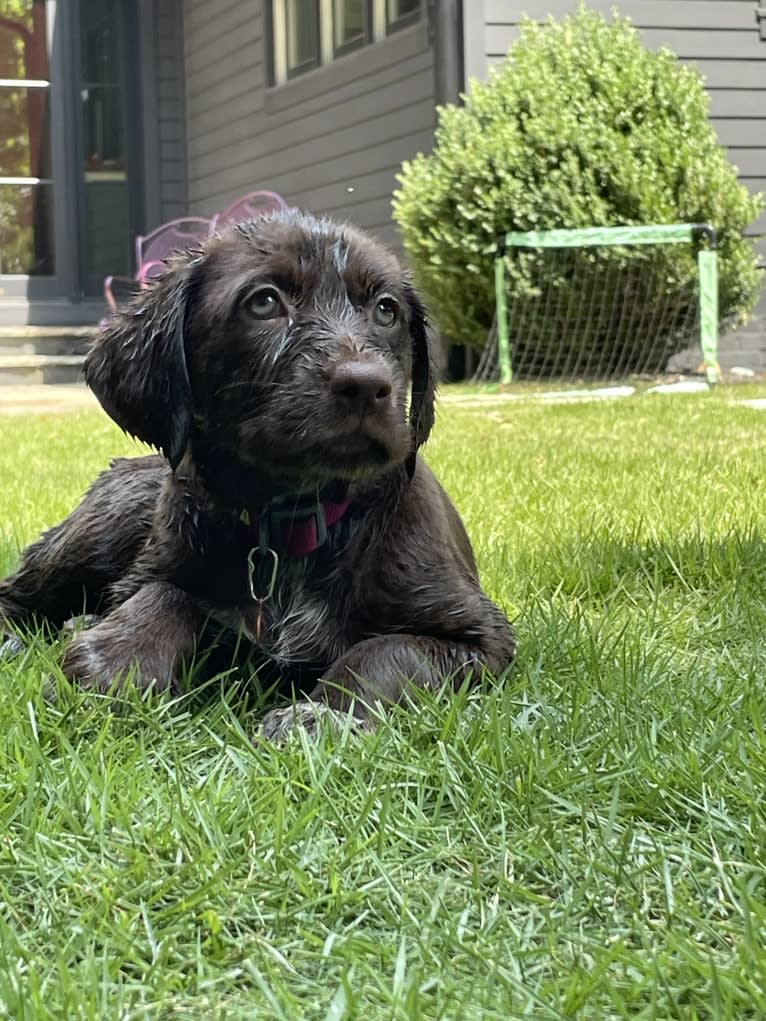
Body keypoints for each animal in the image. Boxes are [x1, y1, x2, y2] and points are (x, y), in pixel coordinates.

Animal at [1, 213, 516, 743]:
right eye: (265, 302)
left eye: (386, 311)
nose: (367, 385)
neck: (296, 518)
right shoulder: (156, 571)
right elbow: (168, 594)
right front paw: (114, 662)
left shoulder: (480, 634)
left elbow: (386, 650)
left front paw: (320, 714)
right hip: (104, 525)